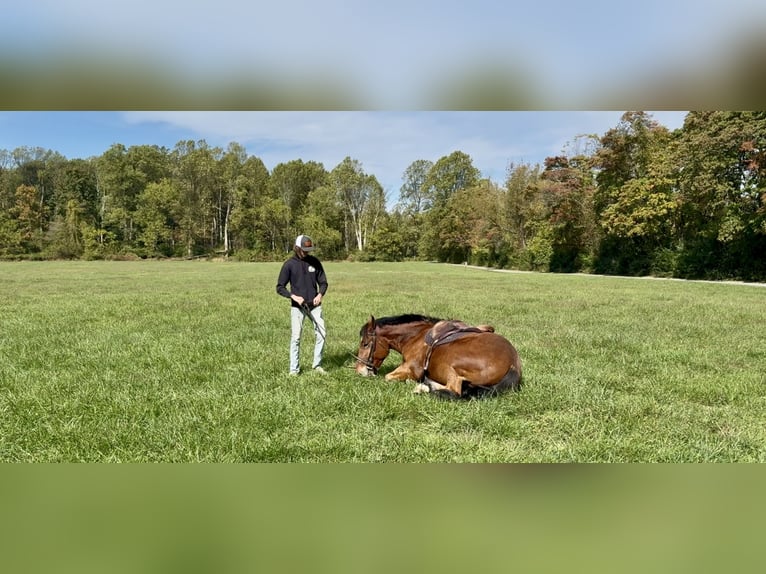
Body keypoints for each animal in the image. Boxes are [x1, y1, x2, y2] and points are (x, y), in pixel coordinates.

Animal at [354, 314, 522, 399]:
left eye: (365, 344)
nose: (359, 370)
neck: (415, 336)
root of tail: (513, 364)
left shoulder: (411, 368)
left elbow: (388, 377)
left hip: (451, 365)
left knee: (454, 389)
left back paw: (425, 387)